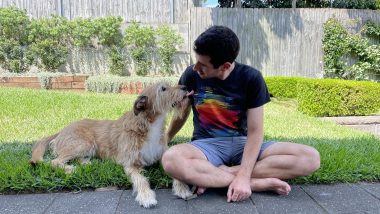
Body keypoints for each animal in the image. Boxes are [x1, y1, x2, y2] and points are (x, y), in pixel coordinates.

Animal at [29, 81, 194, 208]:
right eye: (163, 88)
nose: (185, 86)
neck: (150, 125)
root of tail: (61, 130)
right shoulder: (130, 163)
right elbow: (141, 179)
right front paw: (146, 197)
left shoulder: (164, 155)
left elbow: (176, 172)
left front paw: (182, 189)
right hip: (83, 143)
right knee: (54, 161)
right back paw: (70, 168)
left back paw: (87, 163)